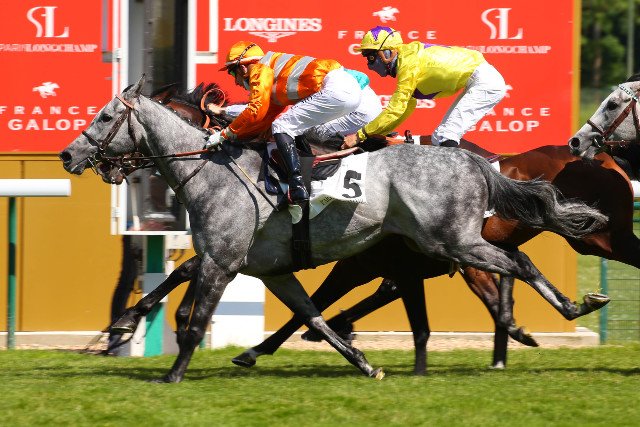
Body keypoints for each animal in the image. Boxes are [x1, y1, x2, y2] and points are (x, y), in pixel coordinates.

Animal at [60, 76, 607, 382]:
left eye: (105, 117)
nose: (69, 154)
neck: (214, 171)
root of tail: (476, 162)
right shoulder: (270, 269)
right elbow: (312, 316)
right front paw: (365, 364)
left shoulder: (223, 260)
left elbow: (195, 318)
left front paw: (169, 371)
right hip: (434, 248)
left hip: (450, 241)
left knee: (517, 263)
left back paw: (566, 309)